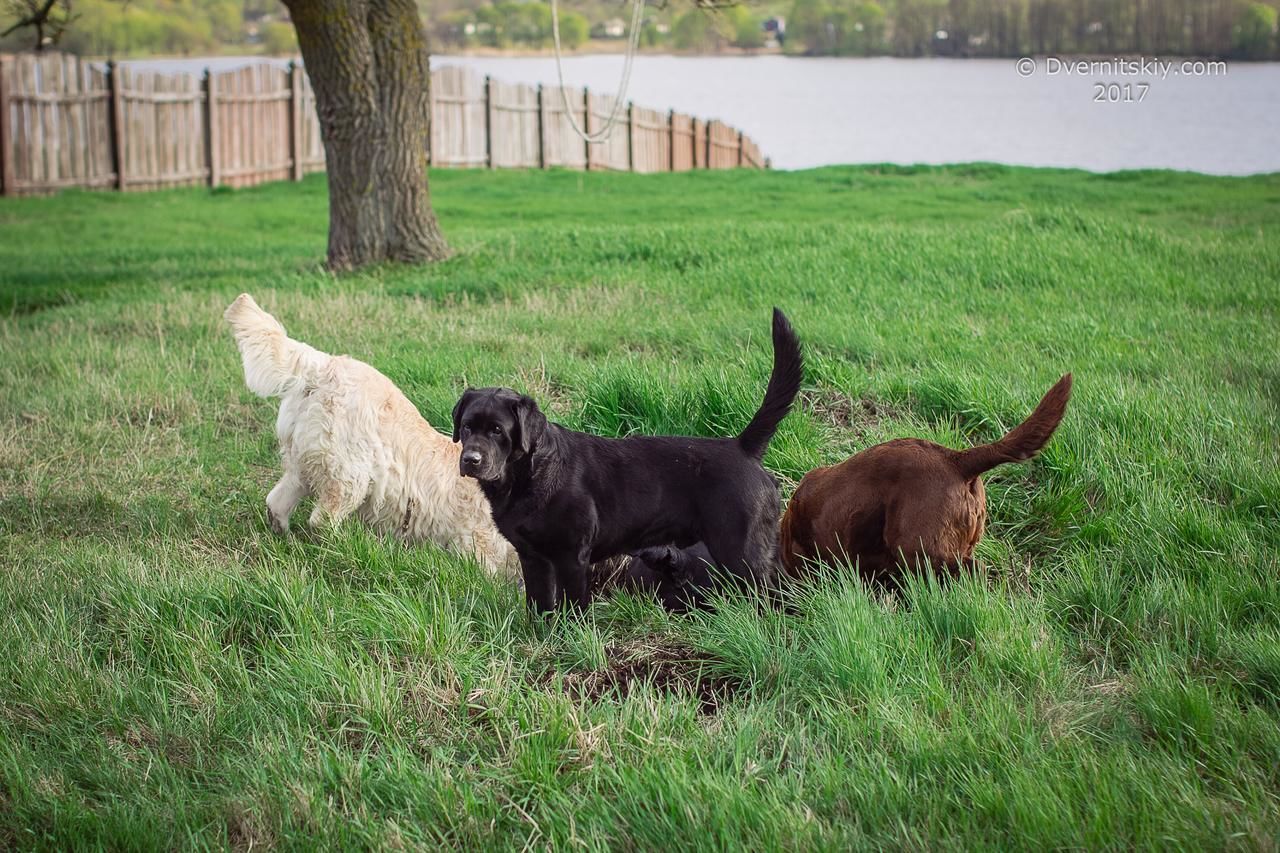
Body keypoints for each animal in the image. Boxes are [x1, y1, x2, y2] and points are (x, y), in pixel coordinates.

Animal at [226, 292, 519, 578]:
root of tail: (324, 366)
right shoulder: (478, 543)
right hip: (348, 473)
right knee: (322, 520)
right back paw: (345, 547)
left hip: (304, 462)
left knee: (277, 503)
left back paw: (285, 541)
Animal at [455, 308, 803, 614]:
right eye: (467, 426)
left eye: (497, 430)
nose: (470, 459)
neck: (530, 475)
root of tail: (742, 446)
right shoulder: (533, 558)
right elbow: (538, 607)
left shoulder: (571, 557)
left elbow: (571, 609)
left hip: (741, 552)